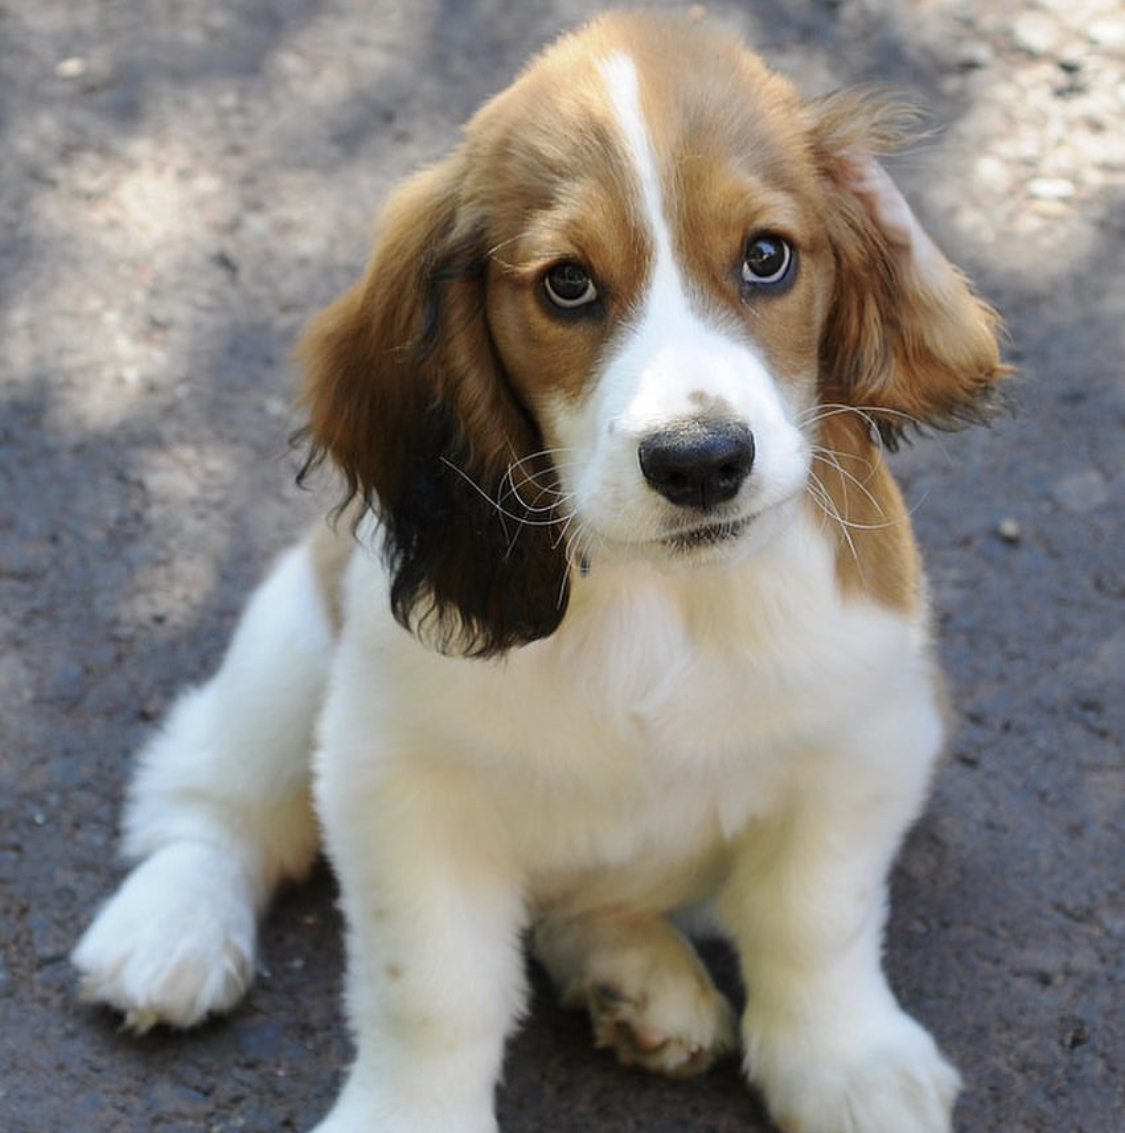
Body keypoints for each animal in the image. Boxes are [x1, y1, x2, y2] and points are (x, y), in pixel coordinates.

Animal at [72, 11, 1001, 1133]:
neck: (657, 597)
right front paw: (410, 1115)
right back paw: (169, 926)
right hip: (291, 640)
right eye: (567, 282)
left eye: (767, 257)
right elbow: (432, 986)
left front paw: (847, 1062)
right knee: (212, 797)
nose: (700, 461)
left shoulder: (865, 733)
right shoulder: (398, 778)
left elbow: (815, 917)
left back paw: (634, 973)